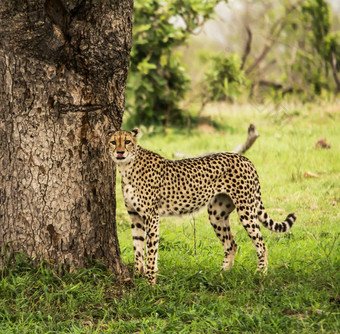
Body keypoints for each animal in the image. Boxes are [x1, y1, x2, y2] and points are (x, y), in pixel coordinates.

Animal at [108, 128, 294, 284]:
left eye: (127, 141)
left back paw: (260, 272)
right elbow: (137, 248)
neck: (127, 166)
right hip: (216, 213)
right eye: (113, 142)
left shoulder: (151, 216)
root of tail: (244, 158)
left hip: (246, 209)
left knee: (261, 244)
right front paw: (137, 276)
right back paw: (221, 274)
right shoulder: (135, 216)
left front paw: (150, 282)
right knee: (231, 244)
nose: (120, 152)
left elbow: (151, 251)